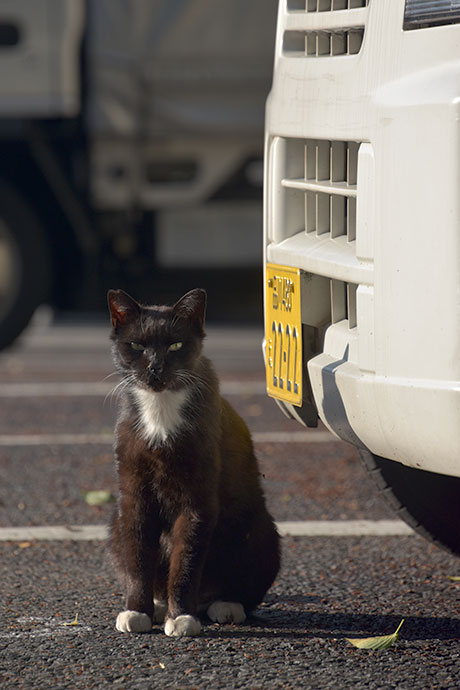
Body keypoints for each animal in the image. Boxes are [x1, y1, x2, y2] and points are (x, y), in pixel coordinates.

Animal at [108, 284, 280, 636]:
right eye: (136, 345)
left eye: (175, 344)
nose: (155, 368)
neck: (160, 409)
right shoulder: (132, 492)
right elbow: (137, 554)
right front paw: (136, 611)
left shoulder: (198, 496)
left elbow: (186, 557)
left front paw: (182, 618)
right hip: (113, 526)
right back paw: (159, 605)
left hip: (260, 529)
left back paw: (225, 605)